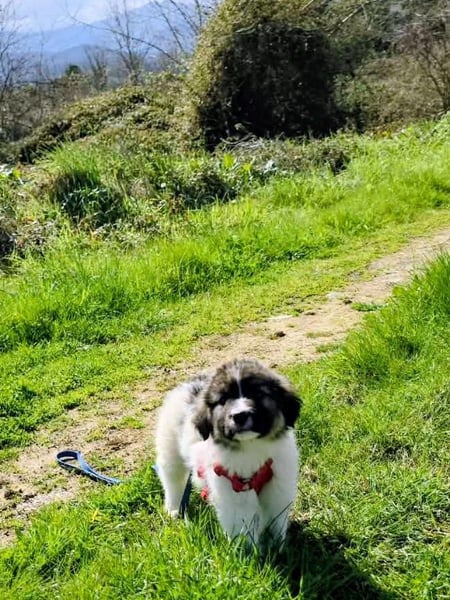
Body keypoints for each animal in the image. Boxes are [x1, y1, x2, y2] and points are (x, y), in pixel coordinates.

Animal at [155, 357, 301, 550]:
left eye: (257, 393)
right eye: (223, 400)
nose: (240, 415)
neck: (251, 447)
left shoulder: (278, 487)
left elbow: (276, 520)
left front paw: (277, 547)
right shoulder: (233, 492)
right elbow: (243, 526)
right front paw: (249, 552)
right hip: (170, 448)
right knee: (172, 478)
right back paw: (173, 508)